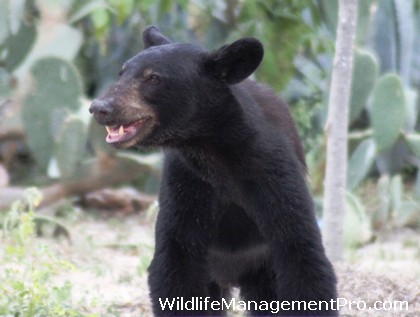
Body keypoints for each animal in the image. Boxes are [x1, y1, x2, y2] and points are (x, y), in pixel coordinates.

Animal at [89, 25, 338, 314]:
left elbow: (301, 252)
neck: (212, 151)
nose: (100, 108)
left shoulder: (272, 170)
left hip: (261, 267)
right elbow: (175, 260)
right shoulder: (186, 181)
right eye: (122, 72)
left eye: (153, 78)